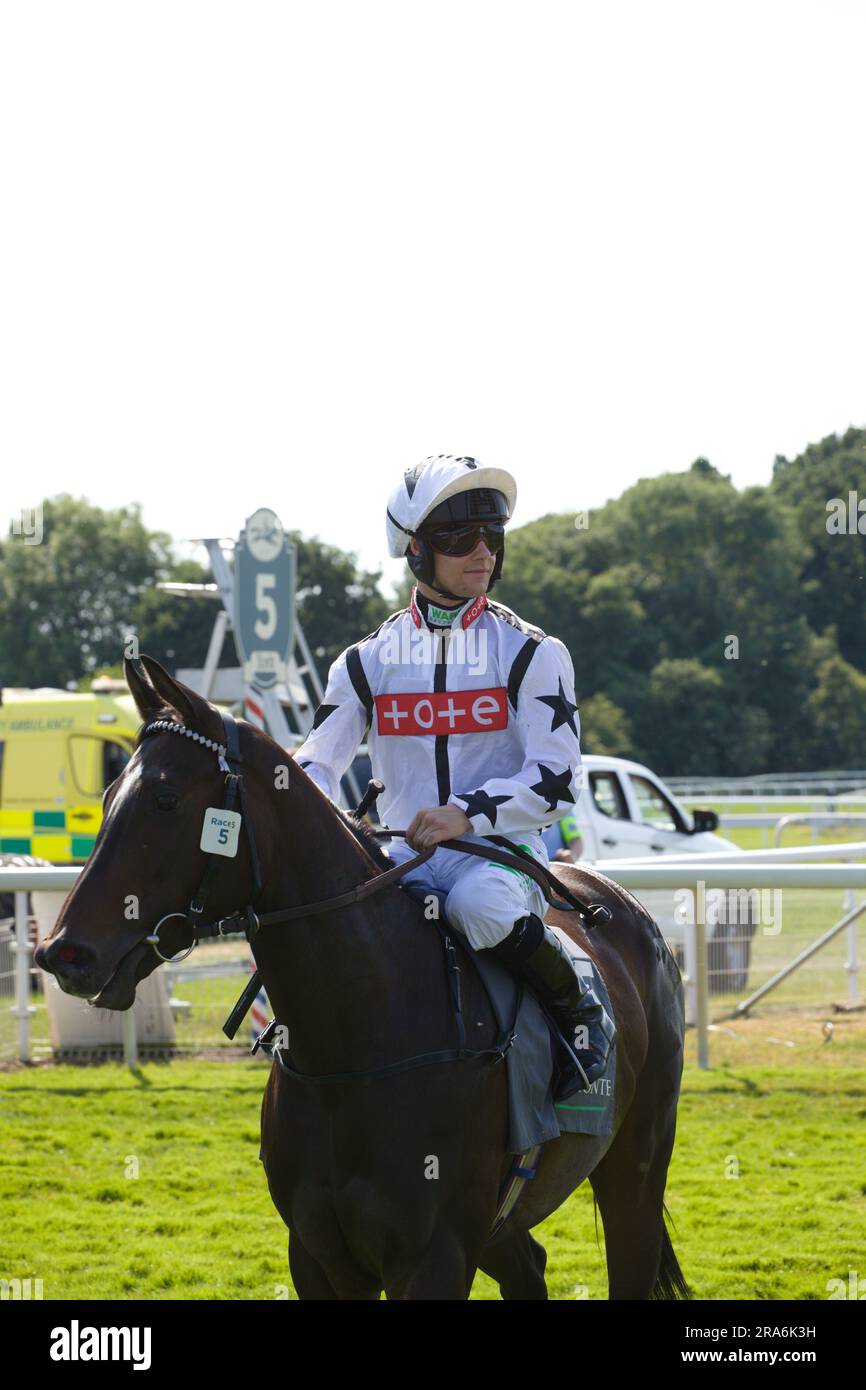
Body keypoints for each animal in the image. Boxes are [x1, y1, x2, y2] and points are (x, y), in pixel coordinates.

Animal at [33, 656, 686, 1295]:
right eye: (108, 794)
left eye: (165, 799)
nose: (64, 952)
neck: (357, 1046)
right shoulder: (317, 1257)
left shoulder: (434, 1258)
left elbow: (552, 770)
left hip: (634, 1176)